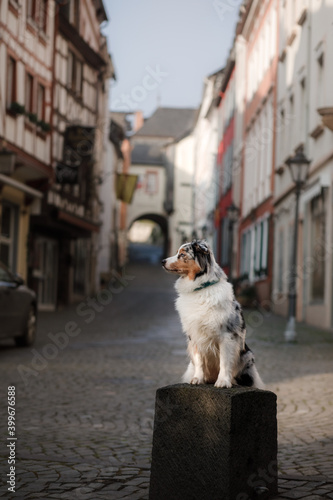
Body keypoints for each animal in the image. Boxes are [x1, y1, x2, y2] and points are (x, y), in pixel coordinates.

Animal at [161, 239, 264, 390]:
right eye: (177, 252)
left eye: (182, 254)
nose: (162, 261)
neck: (200, 289)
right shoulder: (195, 335)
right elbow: (199, 360)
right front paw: (197, 379)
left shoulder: (226, 336)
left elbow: (225, 361)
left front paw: (223, 381)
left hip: (247, 355)